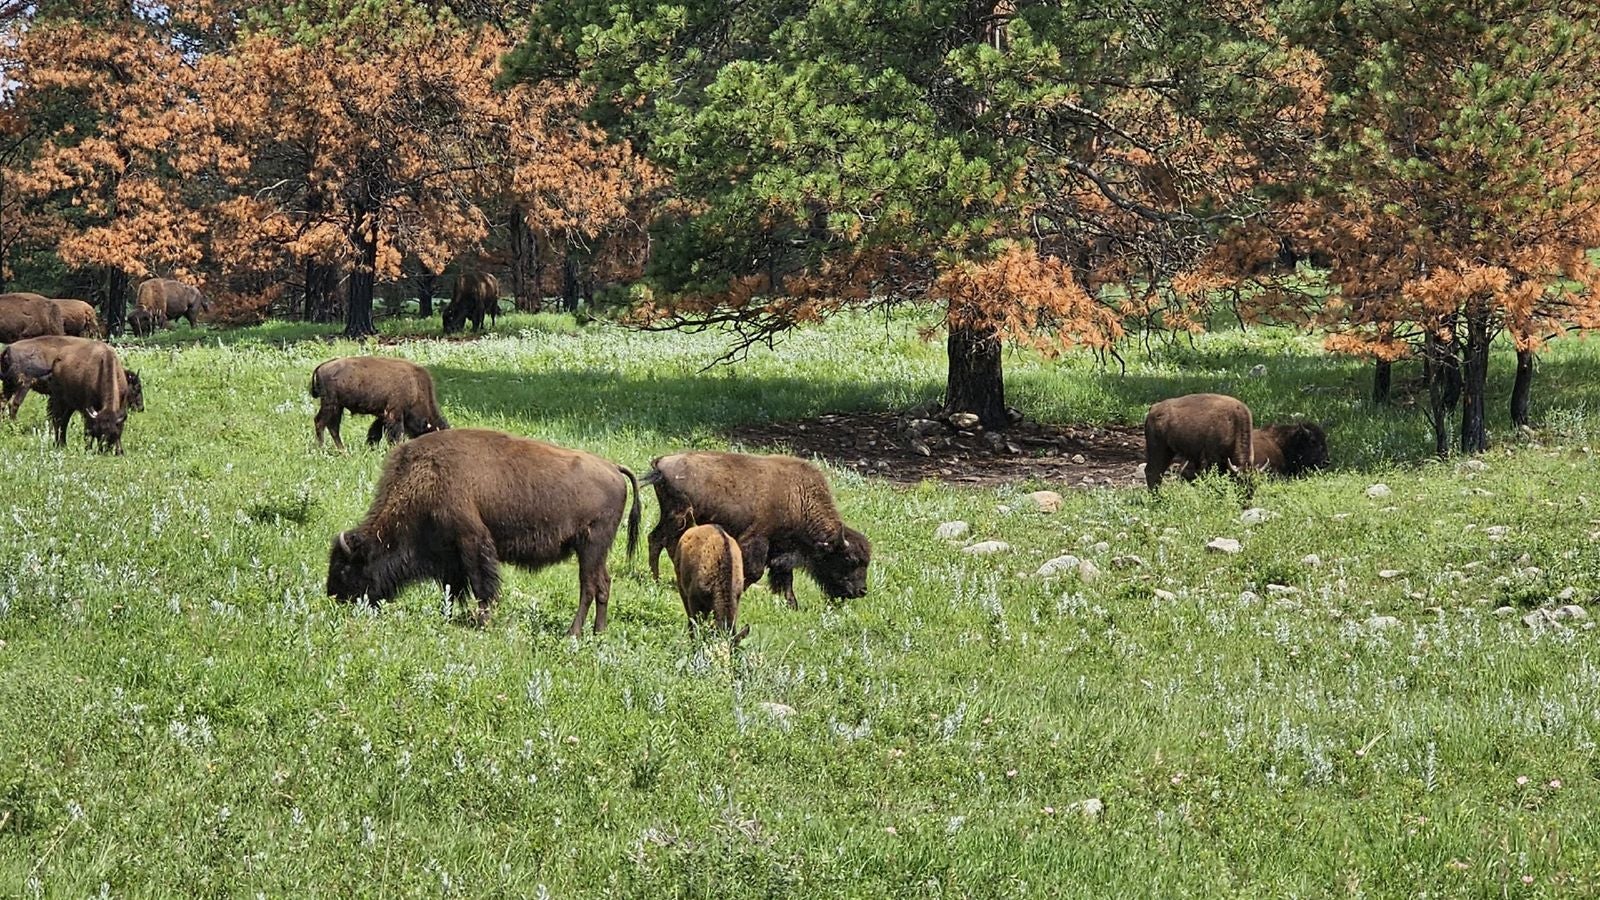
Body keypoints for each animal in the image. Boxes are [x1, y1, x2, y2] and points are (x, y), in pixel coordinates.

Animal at [309, 356, 448, 449]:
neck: (415, 387)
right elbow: (396, 434)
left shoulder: (383, 416)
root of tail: (322, 367)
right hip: (331, 404)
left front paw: (370, 446)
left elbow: (376, 432)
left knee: (333, 427)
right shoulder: (394, 413)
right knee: (320, 422)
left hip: (338, 407)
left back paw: (342, 450)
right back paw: (322, 448)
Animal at [326, 428, 641, 634]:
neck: (425, 478)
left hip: (590, 546)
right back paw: (598, 632)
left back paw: (572, 632)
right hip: (597, 551)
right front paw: (452, 615)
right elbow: (453, 589)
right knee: (603, 584)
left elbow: (481, 584)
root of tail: (613, 468)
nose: (335, 598)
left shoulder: (472, 542)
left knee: (588, 586)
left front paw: (482, 621)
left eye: (345, 568)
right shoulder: (450, 557)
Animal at [643, 451, 871, 608]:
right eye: (849, 559)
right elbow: (755, 572)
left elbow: (785, 579)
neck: (798, 498)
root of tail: (661, 462)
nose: (861, 591)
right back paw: (656, 579)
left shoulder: (782, 551)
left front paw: (793, 605)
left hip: (676, 520)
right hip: (676, 516)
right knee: (656, 540)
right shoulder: (758, 540)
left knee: (664, 542)